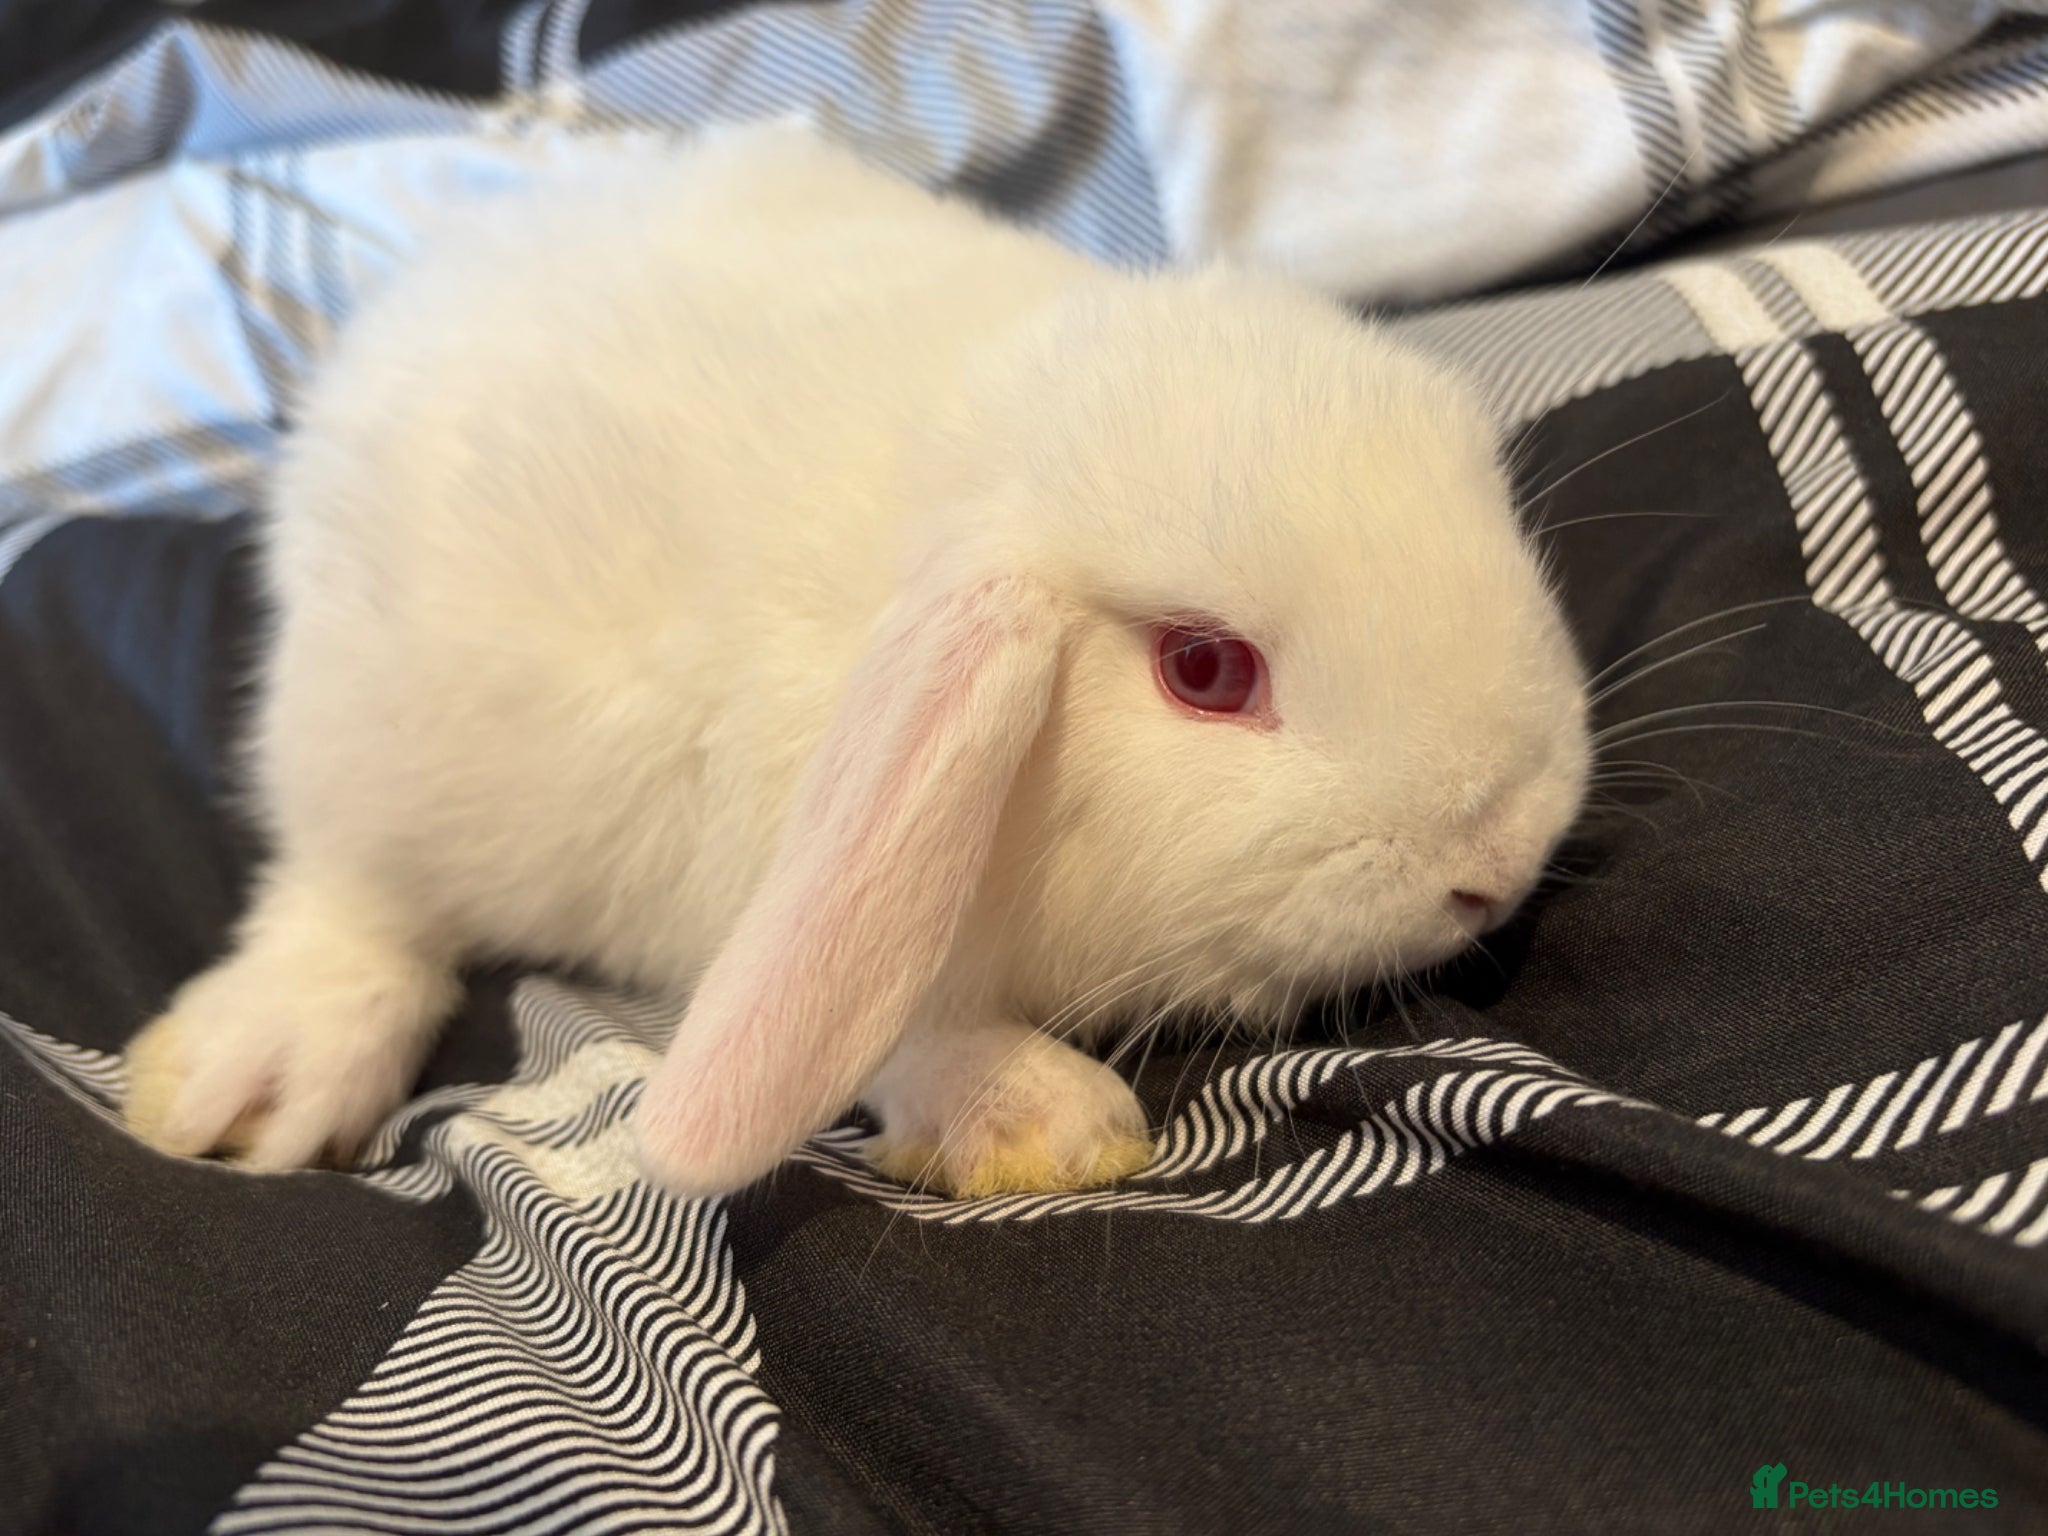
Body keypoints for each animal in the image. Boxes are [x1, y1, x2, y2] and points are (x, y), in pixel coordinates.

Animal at [123, 122, 1591, 1200]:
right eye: (1204, 670)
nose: (1502, 853)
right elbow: (894, 1026)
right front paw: (1048, 1124)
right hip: (373, 745)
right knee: (349, 903)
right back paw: (250, 1085)